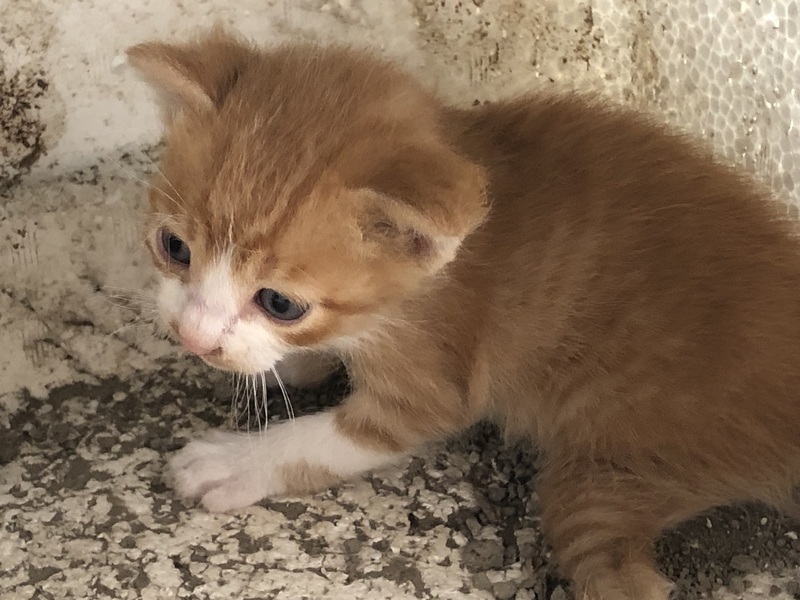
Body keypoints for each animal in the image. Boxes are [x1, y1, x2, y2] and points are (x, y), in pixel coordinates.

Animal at [127, 28, 800, 600]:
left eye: (280, 303)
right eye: (174, 247)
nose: (192, 338)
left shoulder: (431, 383)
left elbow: (321, 441)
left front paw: (234, 460)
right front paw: (280, 364)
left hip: (616, 466)